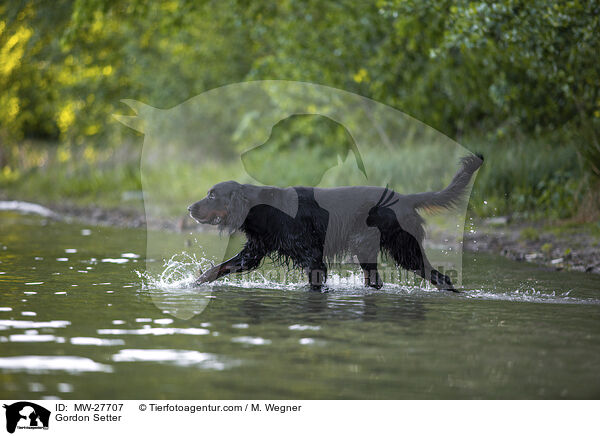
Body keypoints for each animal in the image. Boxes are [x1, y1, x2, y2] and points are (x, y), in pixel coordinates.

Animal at [189, 155, 482, 292]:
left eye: (212, 195)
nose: (190, 208)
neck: (263, 207)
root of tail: (406, 199)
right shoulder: (252, 252)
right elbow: (217, 268)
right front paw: (190, 284)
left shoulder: (312, 257)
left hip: (400, 248)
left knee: (440, 276)